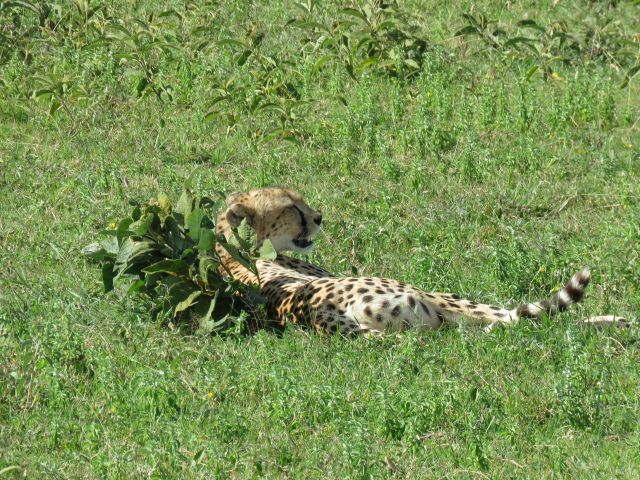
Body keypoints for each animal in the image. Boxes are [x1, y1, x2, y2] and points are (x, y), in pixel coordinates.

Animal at [215, 187, 629, 335]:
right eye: (290, 207)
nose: (318, 217)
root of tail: (317, 311)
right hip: (433, 299)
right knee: (513, 319)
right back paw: (614, 323)